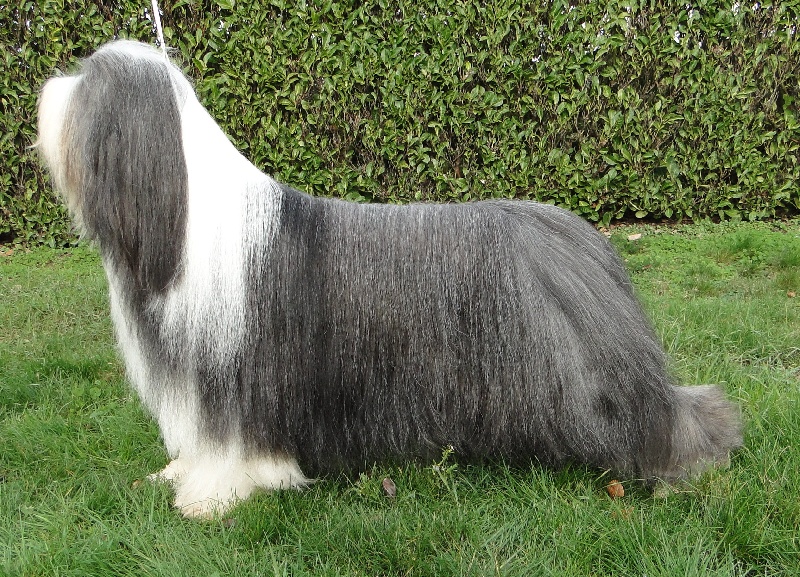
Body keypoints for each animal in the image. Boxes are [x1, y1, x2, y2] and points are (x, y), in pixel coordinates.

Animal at [36, 40, 742, 517]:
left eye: (89, 86)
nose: (45, 93)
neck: (183, 213)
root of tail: (584, 239)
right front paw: (179, 476)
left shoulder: (236, 379)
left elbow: (232, 442)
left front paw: (211, 497)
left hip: (576, 374)